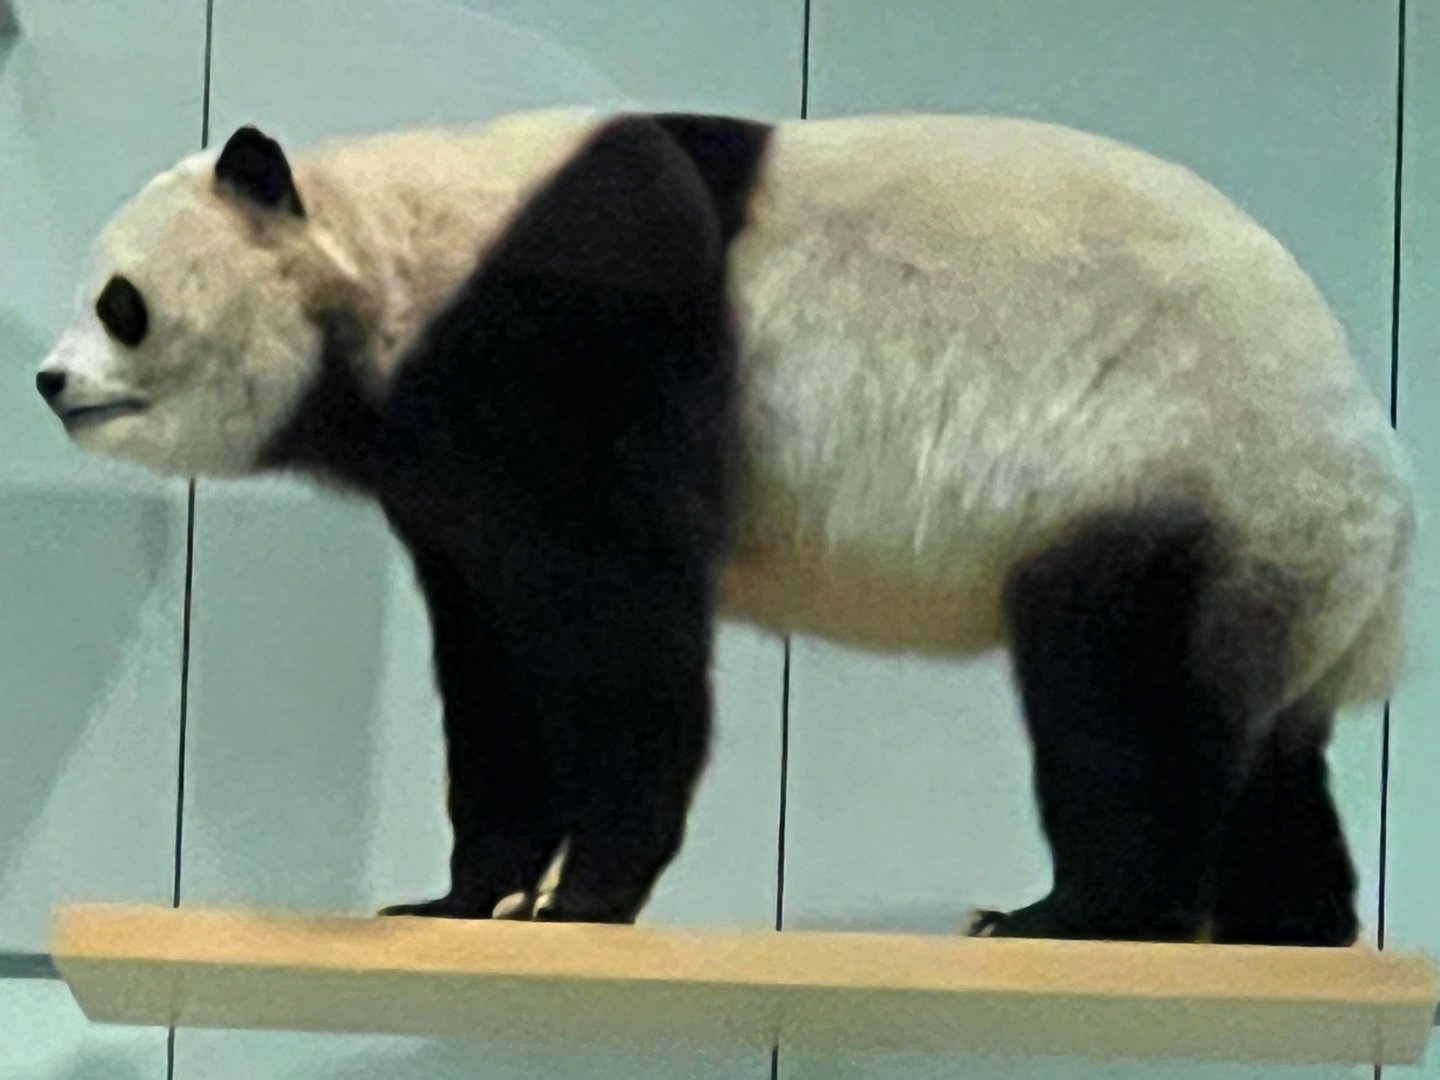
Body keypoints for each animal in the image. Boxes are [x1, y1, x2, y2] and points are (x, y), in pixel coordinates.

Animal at [35, 109, 1412, 945]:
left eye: (121, 302)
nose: (49, 383)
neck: (391, 264)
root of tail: (1387, 518)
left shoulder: (574, 330)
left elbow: (618, 618)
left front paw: (580, 899)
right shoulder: (450, 477)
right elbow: (493, 667)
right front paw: (460, 898)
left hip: (1165, 460)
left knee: (1122, 690)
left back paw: (1071, 918)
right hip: (1270, 555)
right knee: (1261, 741)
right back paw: (1294, 930)